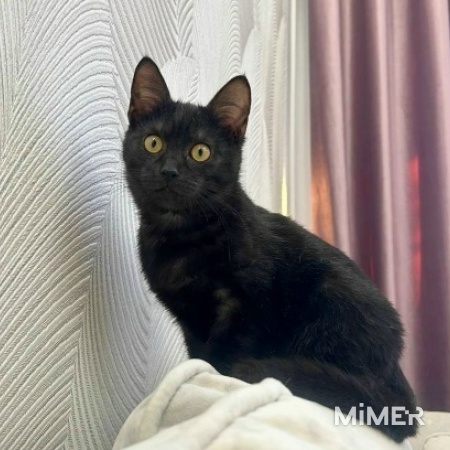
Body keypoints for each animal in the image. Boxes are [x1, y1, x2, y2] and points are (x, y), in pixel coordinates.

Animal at [123, 57, 418, 442]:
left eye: (200, 152)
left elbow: (226, 350)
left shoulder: (250, 304)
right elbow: (200, 355)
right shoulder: (189, 319)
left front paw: (224, 375)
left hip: (329, 296)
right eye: (153, 143)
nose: (169, 171)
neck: (183, 238)